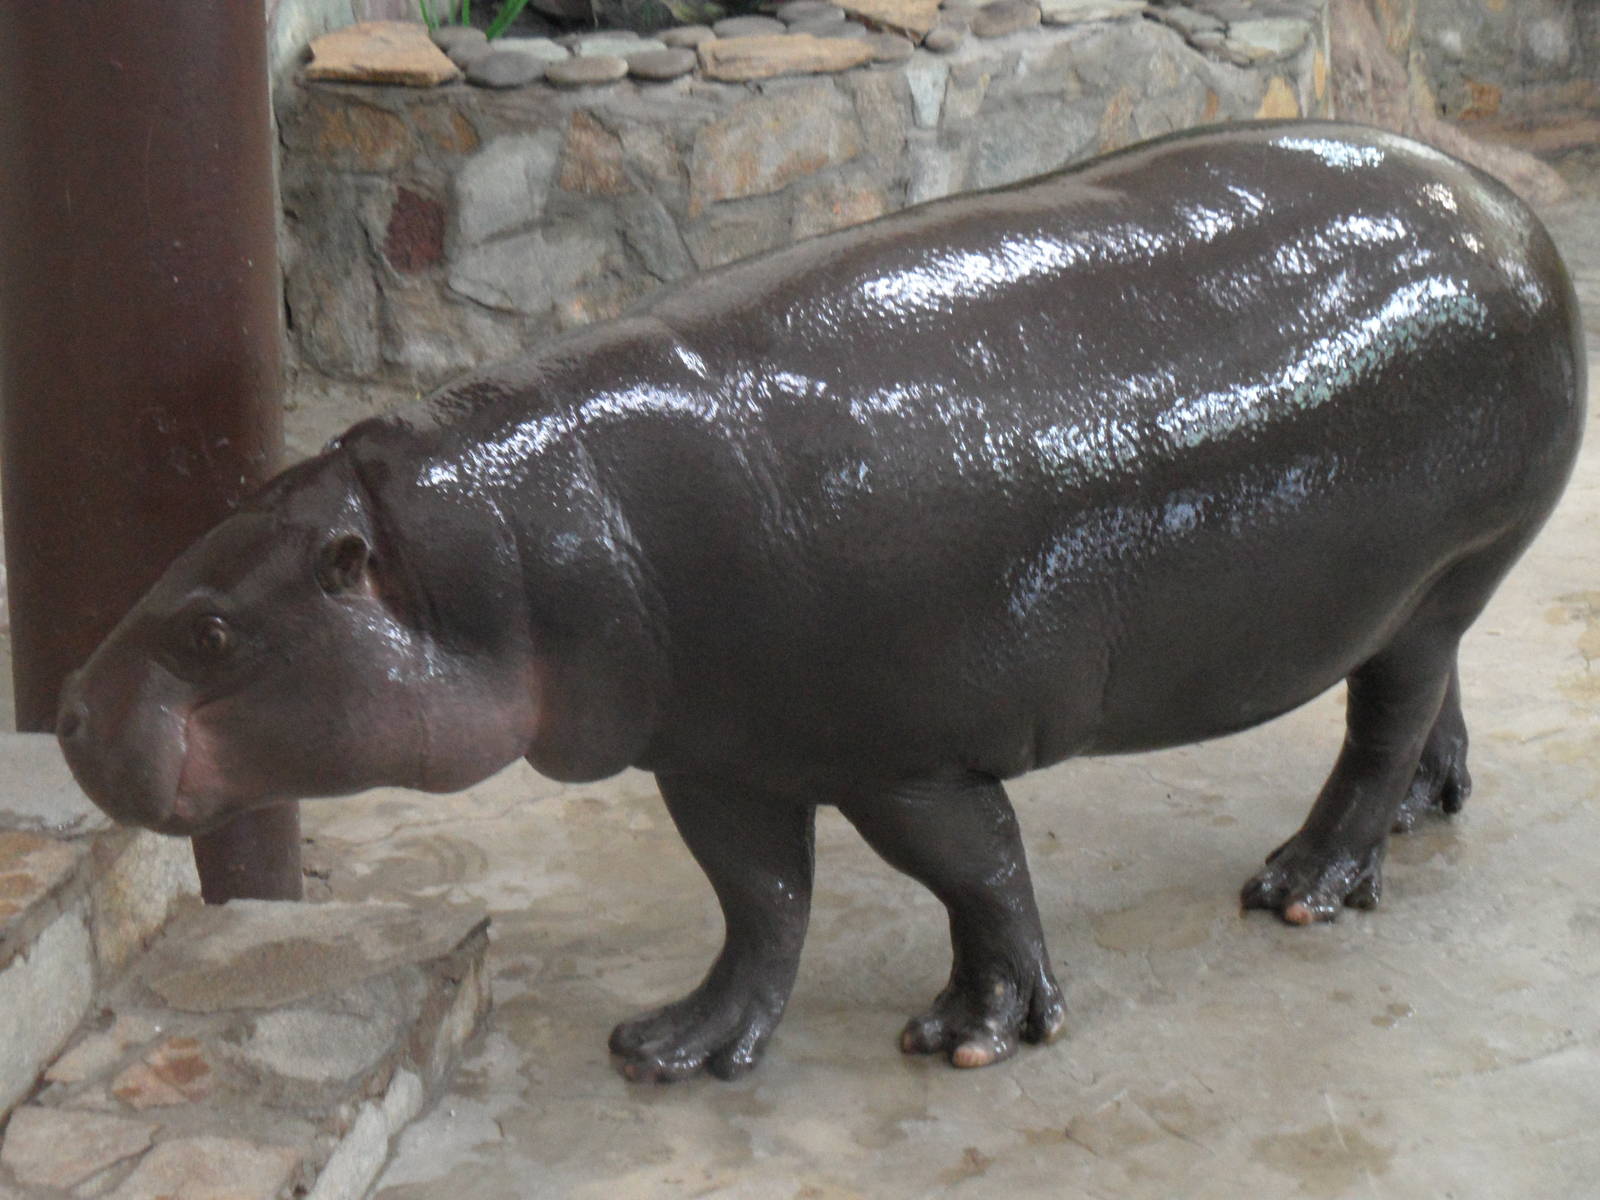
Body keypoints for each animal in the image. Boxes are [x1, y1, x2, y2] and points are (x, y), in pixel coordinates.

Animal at [58, 121, 1584, 1082]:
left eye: (210, 627)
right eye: (186, 553)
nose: (67, 709)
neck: (506, 544)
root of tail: (1505, 204)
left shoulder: (906, 755)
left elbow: (974, 872)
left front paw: (972, 1037)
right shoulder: (717, 755)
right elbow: (758, 901)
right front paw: (671, 1051)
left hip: (1453, 562)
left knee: (1377, 728)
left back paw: (1301, 889)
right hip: (1417, 590)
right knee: (1424, 696)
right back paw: (1425, 816)